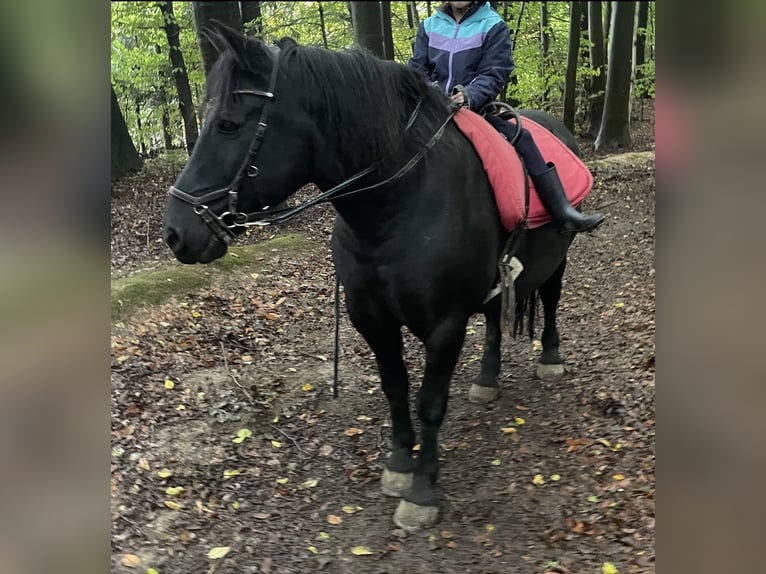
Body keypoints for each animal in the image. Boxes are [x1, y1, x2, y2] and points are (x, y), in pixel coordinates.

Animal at [162, 25, 581, 532]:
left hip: (558, 260)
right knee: (495, 321)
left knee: (551, 300)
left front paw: (421, 490)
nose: (175, 232)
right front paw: (400, 465)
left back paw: (550, 358)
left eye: (227, 125)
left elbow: (429, 402)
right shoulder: (371, 319)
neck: (399, 206)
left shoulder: (445, 326)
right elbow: (395, 389)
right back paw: (487, 378)